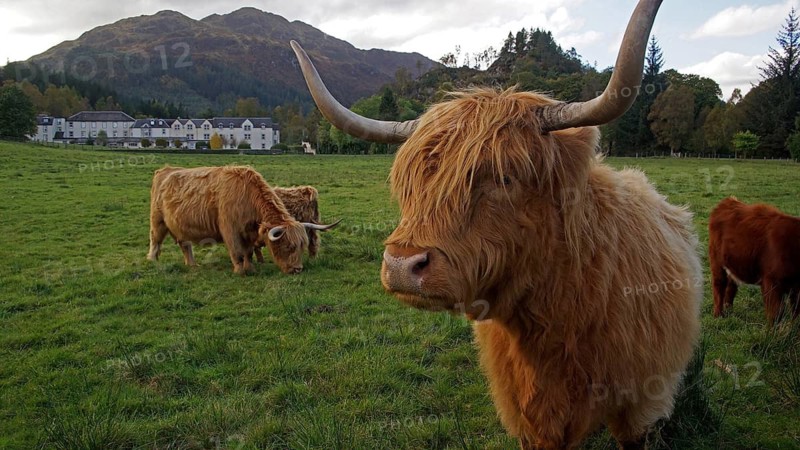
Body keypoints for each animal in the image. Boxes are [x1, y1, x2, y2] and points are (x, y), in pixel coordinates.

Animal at [147, 165, 337, 274]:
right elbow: (237, 252)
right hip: (158, 220)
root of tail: (164, 170)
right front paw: (239, 271)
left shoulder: (249, 232)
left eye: (301, 246)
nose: (297, 269)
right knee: (155, 240)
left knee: (185, 244)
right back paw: (152, 261)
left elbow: (249, 252)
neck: (247, 197)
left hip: (179, 226)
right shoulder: (230, 230)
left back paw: (192, 265)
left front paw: (250, 268)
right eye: (288, 246)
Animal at [709, 197, 800, 325]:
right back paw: (718, 315)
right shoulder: (771, 282)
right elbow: (776, 313)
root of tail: (729, 201)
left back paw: (729, 310)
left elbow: (796, 314)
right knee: (719, 286)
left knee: (731, 286)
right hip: (717, 263)